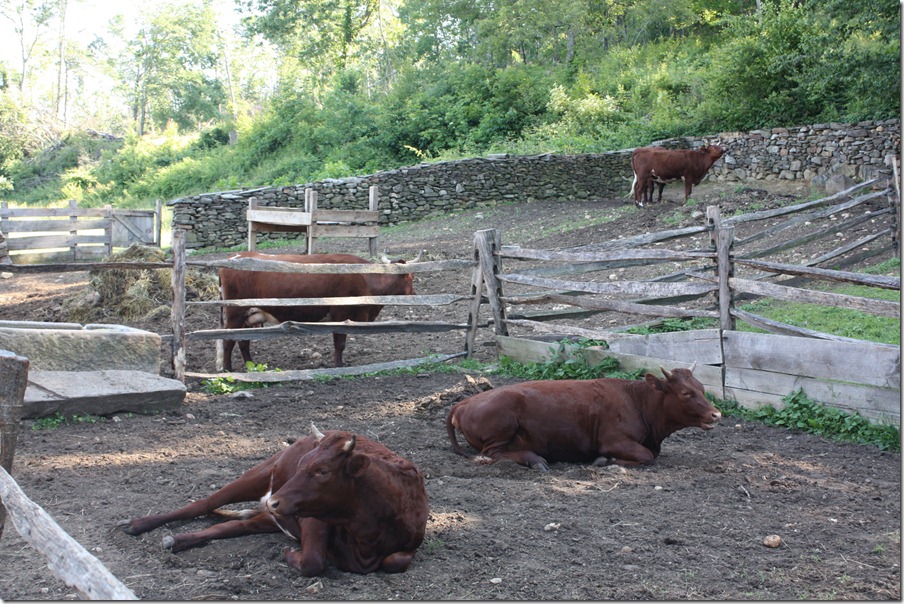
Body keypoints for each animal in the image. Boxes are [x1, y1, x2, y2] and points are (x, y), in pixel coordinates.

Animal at [119, 424, 429, 576]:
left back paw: (179, 540)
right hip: (259, 475)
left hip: (269, 516)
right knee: (203, 504)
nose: (276, 502)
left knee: (228, 526)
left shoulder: (409, 544)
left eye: (322, 471)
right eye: (302, 464)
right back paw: (139, 524)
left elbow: (395, 561)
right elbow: (313, 561)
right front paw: (292, 554)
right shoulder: (313, 518)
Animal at [216, 251, 416, 371]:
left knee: (243, 341)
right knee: (228, 341)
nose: (415, 293)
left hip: (248, 316)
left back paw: (251, 366)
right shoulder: (340, 314)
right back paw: (227, 369)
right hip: (235, 314)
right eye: (411, 278)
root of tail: (236, 256)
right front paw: (338, 366)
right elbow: (339, 344)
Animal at [446, 365, 720, 470]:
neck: (636, 400)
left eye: (702, 388)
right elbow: (646, 456)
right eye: (685, 392)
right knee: (491, 454)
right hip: (503, 424)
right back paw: (535, 459)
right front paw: (604, 460)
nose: (716, 414)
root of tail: (462, 403)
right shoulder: (614, 440)